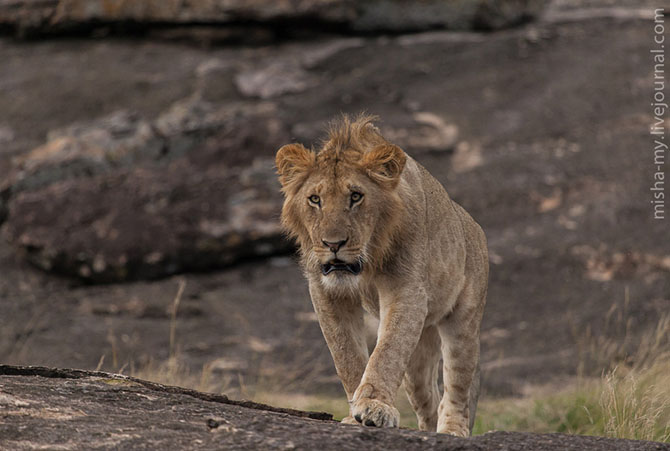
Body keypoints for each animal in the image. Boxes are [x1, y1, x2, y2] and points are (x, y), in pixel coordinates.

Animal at [274, 115, 488, 436]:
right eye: (314, 199)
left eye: (356, 196)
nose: (333, 244)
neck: (367, 264)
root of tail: (472, 223)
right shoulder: (326, 292)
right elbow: (346, 354)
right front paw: (355, 414)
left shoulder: (406, 290)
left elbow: (387, 351)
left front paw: (374, 406)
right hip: (419, 352)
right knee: (428, 395)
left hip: (464, 324)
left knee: (459, 386)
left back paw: (452, 430)